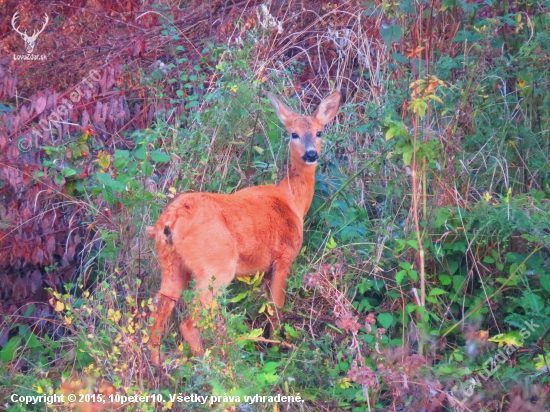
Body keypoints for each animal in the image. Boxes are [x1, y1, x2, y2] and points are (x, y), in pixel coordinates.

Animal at [149, 90, 342, 364]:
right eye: (293, 133)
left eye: (319, 132)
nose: (311, 154)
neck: (292, 201)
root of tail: (170, 221)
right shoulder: (284, 256)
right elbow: (276, 306)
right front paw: (277, 346)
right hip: (216, 267)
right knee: (190, 321)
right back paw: (215, 367)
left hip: (170, 264)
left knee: (158, 313)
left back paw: (158, 365)